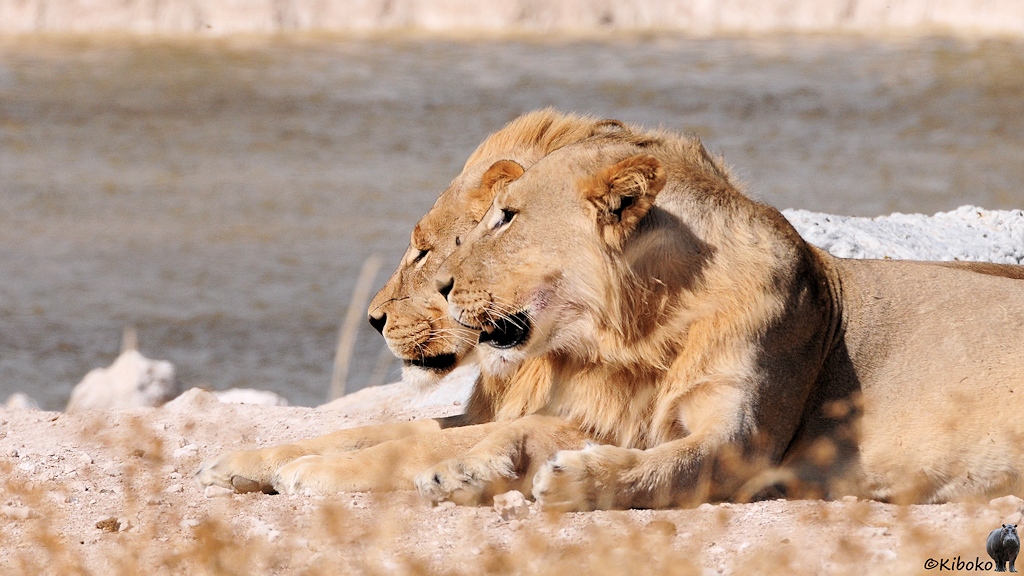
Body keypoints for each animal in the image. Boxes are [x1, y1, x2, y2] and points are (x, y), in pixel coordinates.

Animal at [196, 110, 622, 496]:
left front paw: (311, 469)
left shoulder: (598, 420)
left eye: (423, 252)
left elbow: (420, 445)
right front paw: (241, 463)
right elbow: (369, 431)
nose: (372, 320)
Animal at [423, 126, 1024, 511]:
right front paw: (455, 470)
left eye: (507, 217)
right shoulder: (626, 421)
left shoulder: (744, 447)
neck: (646, 330)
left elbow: (660, 469)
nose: (441, 285)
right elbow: (521, 428)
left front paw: (577, 476)